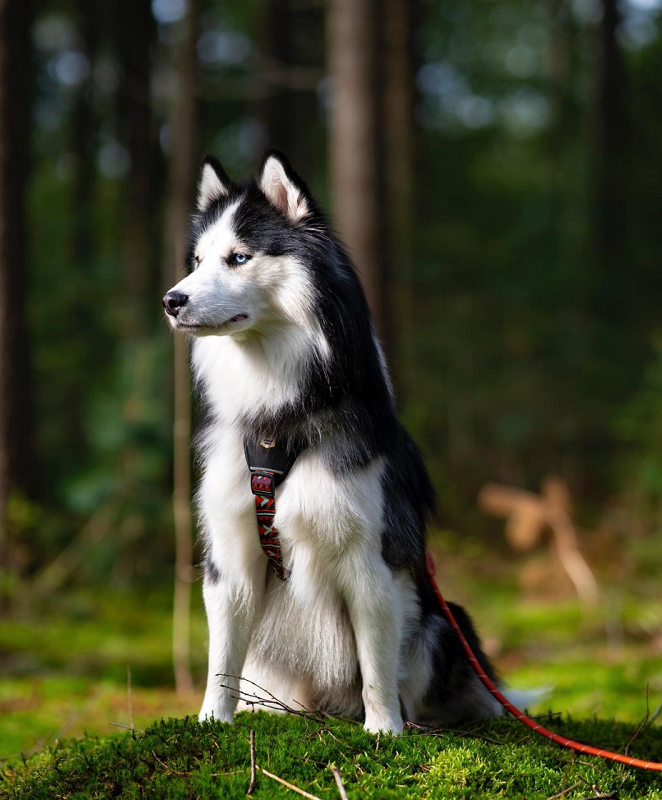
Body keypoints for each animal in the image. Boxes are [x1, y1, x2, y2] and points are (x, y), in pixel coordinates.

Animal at [162, 153, 504, 736]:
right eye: (199, 260)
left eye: (239, 258)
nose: (171, 300)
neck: (278, 415)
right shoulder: (230, 554)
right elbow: (222, 658)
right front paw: (212, 720)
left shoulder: (371, 559)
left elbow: (375, 663)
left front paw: (385, 729)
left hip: (446, 620)